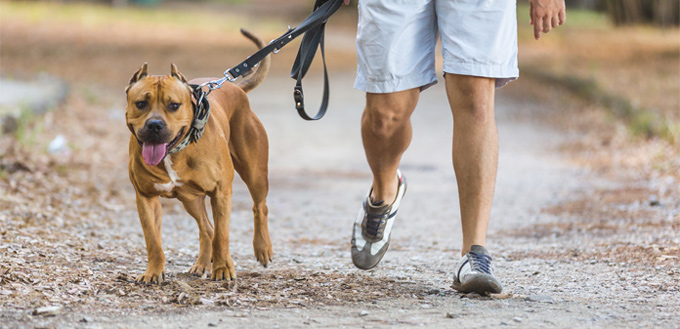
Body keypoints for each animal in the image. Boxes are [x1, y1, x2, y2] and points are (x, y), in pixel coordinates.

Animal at [125, 29, 274, 284]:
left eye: (174, 105)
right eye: (141, 103)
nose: (154, 125)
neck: (174, 153)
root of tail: (235, 88)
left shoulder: (221, 192)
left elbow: (223, 235)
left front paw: (223, 269)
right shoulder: (146, 197)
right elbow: (153, 240)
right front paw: (153, 271)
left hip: (255, 173)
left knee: (259, 207)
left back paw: (262, 248)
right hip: (190, 198)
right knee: (207, 229)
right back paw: (202, 264)